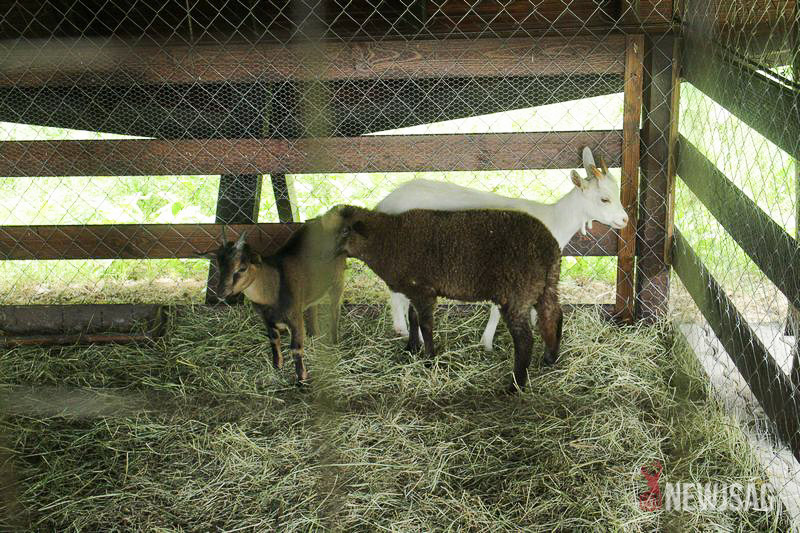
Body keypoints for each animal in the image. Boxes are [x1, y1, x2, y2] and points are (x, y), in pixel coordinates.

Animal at [198, 212, 346, 384]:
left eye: (242, 268)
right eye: (219, 266)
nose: (221, 293)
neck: (274, 287)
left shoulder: (294, 316)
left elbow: (296, 348)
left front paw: (301, 379)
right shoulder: (266, 319)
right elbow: (274, 340)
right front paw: (277, 366)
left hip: (338, 279)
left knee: (335, 307)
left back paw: (335, 340)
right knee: (313, 305)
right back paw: (313, 333)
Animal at [334, 205, 562, 392]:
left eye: (345, 230)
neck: (388, 239)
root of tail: (549, 248)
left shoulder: (423, 291)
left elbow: (425, 324)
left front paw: (429, 359)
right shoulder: (415, 290)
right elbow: (413, 317)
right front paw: (411, 349)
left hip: (518, 292)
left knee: (525, 340)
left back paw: (516, 385)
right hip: (546, 285)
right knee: (554, 315)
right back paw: (550, 358)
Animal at [376, 146, 628, 351]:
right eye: (604, 199)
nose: (625, 220)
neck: (553, 219)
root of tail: (384, 204)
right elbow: (499, 308)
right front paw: (487, 343)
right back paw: (404, 330)